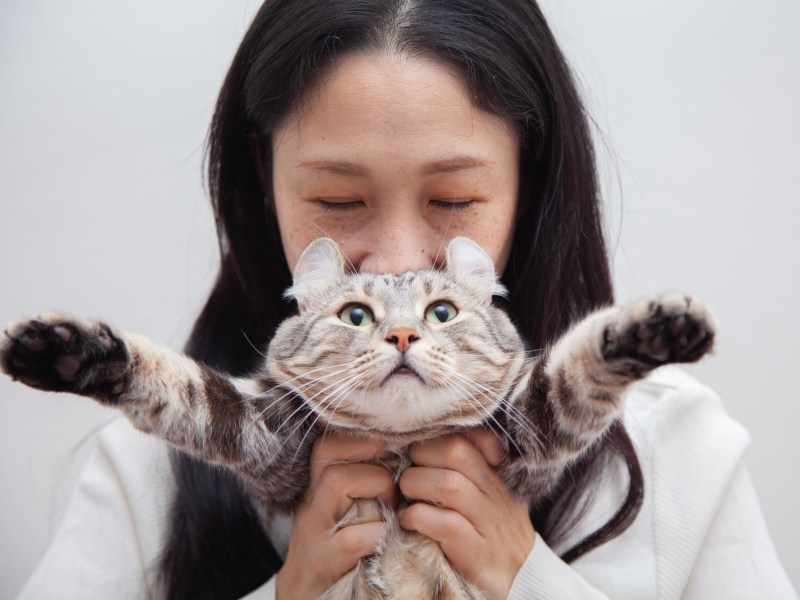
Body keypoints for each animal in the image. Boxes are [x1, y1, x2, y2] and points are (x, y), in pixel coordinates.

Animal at [0, 237, 712, 596]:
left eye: (441, 312)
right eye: (356, 315)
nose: (400, 336)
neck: (396, 447)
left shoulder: (529, 438)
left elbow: (576, 368)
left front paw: (653, 330)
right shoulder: (270, 440)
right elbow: (181, 386)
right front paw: (68, 352)